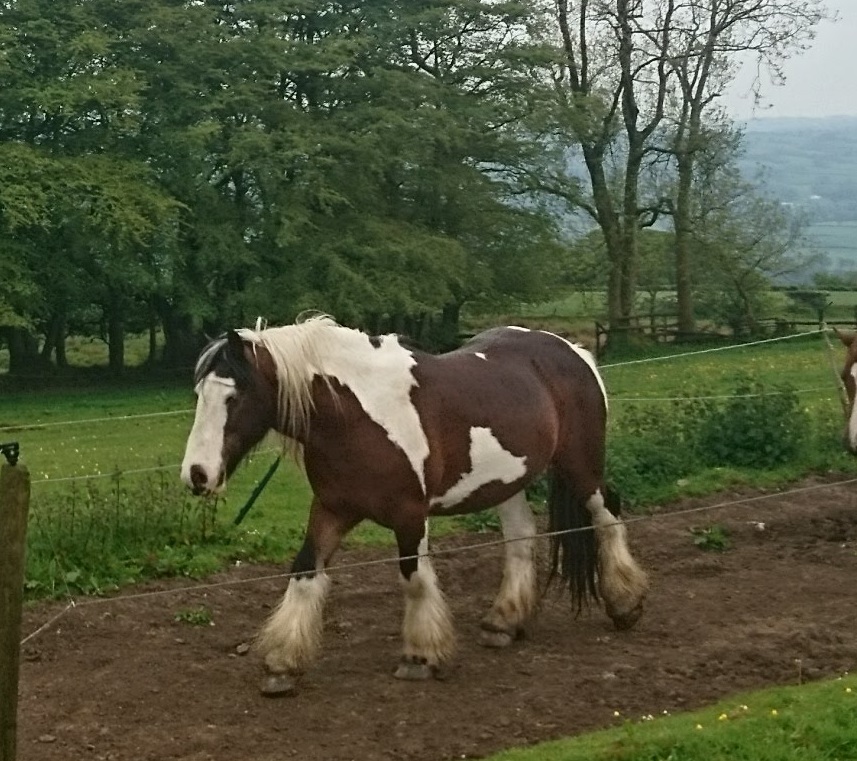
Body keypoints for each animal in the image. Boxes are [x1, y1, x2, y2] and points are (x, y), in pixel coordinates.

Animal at [182, 314, 648, 696]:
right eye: (200, 394)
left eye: (234, 397)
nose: (197, 475)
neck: (355, 416)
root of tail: (573, 351)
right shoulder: (332, 510)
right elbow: (304, 572)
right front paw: (282, 664)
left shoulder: (410, 515)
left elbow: (414, 578)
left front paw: (421, 656)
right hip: (507, 482)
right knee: (520, 538)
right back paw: (503, 622)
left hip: (580, 466)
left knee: (607, 515)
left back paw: (626, 605)